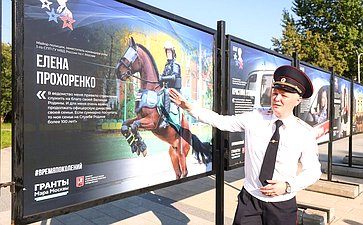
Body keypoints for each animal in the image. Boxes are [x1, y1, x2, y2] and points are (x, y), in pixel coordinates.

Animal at [115, 37, 212, 179]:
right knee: (178, 173)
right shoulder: (139, 117)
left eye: (133, 55)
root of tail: (190, 132)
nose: (118, 72)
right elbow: (125, 125)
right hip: (173, 154)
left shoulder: (152, 122)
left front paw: (142, 146)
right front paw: (134, 145)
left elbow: (134, 126)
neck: (150, 89)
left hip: (182, 153)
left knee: (185, 172)